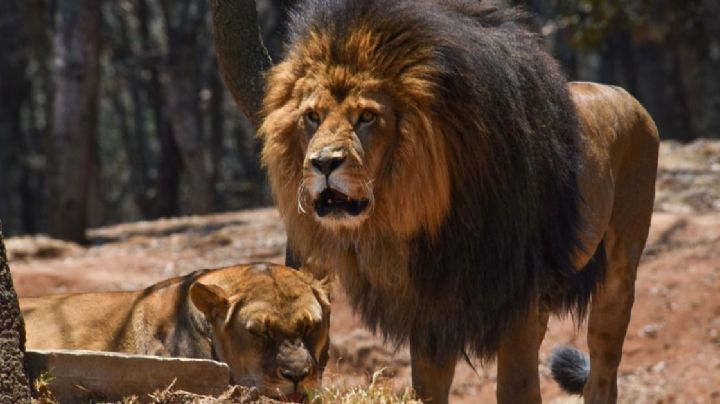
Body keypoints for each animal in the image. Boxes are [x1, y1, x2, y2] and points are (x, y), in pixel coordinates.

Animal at [258, 1, 658, 403]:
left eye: (367, 116)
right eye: (312, 116)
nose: (323, 163)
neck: (431, 211)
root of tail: (621, 92)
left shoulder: (517, 297)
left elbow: (516, 388)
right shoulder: (431, 308)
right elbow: (428, 388)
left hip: (618, 272)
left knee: (603, 371)